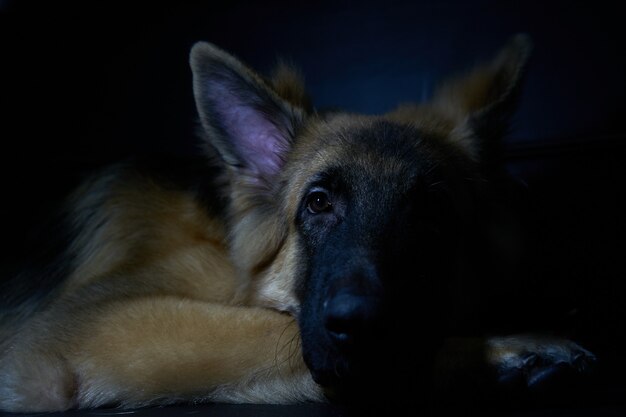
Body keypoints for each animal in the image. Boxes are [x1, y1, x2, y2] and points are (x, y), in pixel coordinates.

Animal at [1, 34, 596, 412]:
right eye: (317, 203)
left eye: (432, 210)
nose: (364, 324)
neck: (223, 247)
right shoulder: (80, 326)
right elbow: (264, 330)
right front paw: (504, 349)